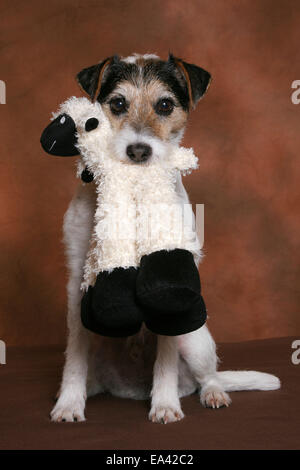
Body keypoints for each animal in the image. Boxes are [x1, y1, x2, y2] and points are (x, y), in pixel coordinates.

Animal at [49, 53, 282, 424]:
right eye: (118, 103)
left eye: (164, 105)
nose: (139, 151)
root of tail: (130, 387)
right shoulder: (77, 279)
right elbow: (75, 355)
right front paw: (69, 403)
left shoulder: (171, 279)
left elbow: (167, 356)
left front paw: (165, 404)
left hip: (195, 339)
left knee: (208, 377)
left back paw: (212, 393)